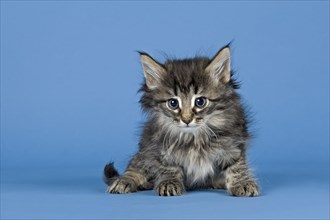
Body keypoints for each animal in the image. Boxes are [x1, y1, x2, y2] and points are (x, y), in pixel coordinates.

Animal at [104, 44, 260, 196]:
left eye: (200, 102)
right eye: (173, 103)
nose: (186, 119)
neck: (194, 138)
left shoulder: (233, 143)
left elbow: (236, 166)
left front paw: (242, 183)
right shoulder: (160, 146)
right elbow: (168, 166)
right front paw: (169, 183)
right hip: (144, 148)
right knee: (136, 165)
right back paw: (124, 181)